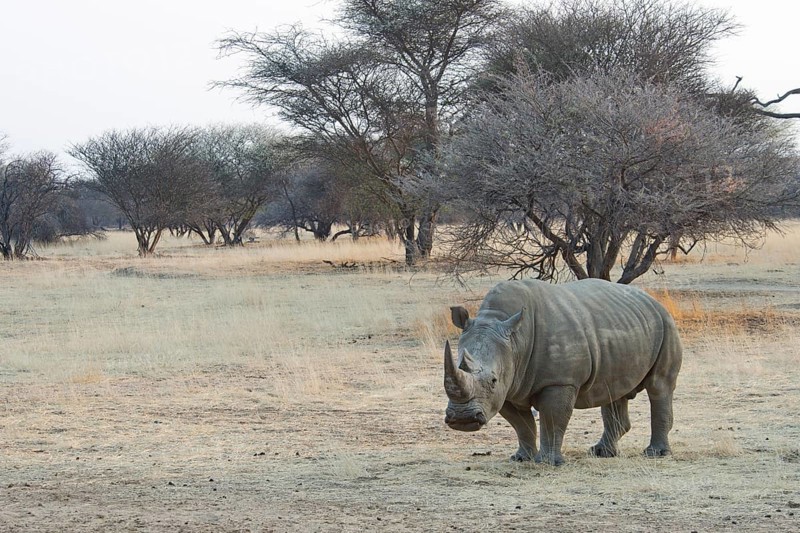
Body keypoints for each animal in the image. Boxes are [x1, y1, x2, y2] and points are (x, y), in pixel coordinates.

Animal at [444, 278, 682, 465]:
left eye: (493, 380)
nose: (463, 419)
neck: (515, 340)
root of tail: (652, 300)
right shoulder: (508, 386)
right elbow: (521, 424)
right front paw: (521, 458)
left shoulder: (559, 381)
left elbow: (552, 418)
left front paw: (548, 462)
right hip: (625, 328)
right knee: (615, 390)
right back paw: (601, 453)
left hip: (666, 324)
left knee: (659, 387)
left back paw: (656, 454)